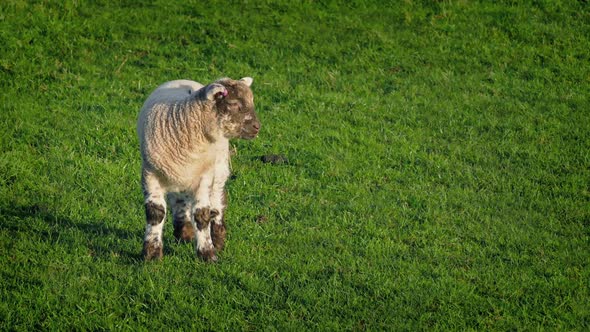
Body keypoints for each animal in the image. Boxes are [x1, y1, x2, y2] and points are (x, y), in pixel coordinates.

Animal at [138, 77, 262, 262]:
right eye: (233, 104)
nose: (257, 127)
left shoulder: (204, 177)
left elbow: (202, 214)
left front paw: (207, 253)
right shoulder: (150, 174)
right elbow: (155, 213)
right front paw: (151, 253)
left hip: (218, 169)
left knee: (217, 201)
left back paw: (217, 237)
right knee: (180, 200)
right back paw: (184, 231)